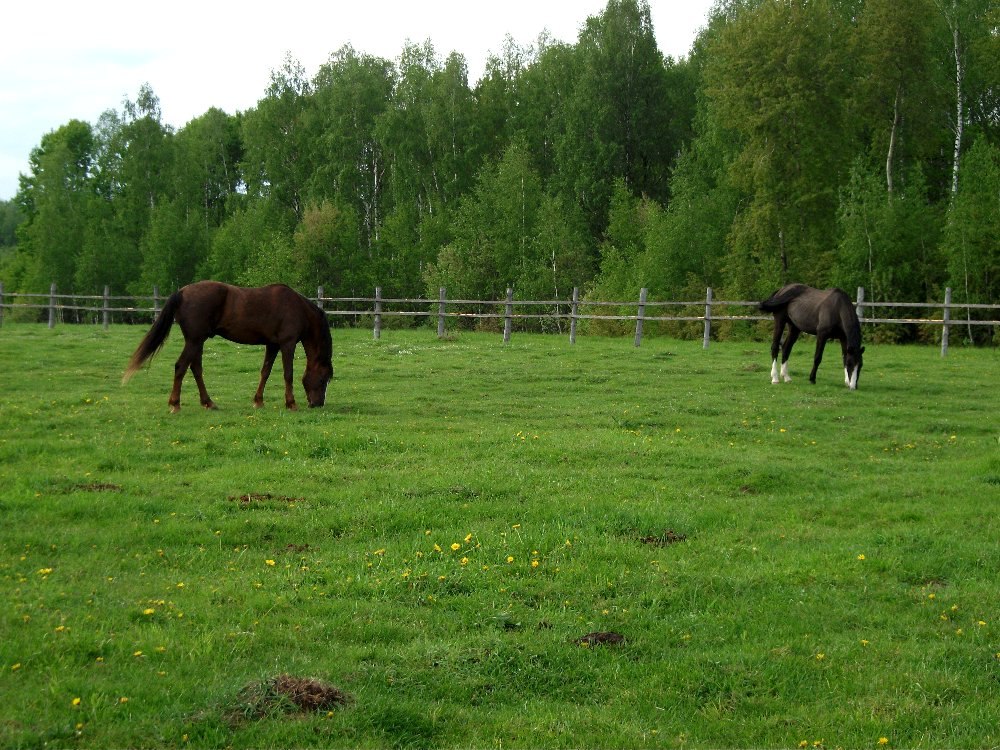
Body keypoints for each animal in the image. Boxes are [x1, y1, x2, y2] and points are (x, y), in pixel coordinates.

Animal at [123, 282, 334, 414]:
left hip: (197, 342)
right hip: (194, 340)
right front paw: (291, 404)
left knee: (196, 368)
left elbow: (265, 372)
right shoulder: (287, 344)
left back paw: (208, 403)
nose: (317, 404)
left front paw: (258, 401)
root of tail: (181, 292)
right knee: (181, 366)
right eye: (323, 379)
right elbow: (288, 374)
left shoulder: (272, 345)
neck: (298, 308)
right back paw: (175, 404)